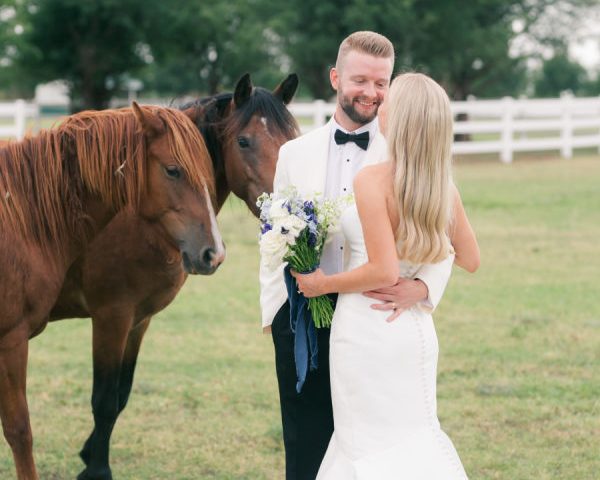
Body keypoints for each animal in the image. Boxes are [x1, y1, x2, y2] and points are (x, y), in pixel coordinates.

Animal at [45, 73, 298, 478]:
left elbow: (120, 395)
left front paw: (89, 453)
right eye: (244, 141)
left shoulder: (138, 320)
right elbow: (104, 398)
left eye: (291, 139)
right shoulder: (112, 317)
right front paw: (96, 469)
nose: (290, 212)